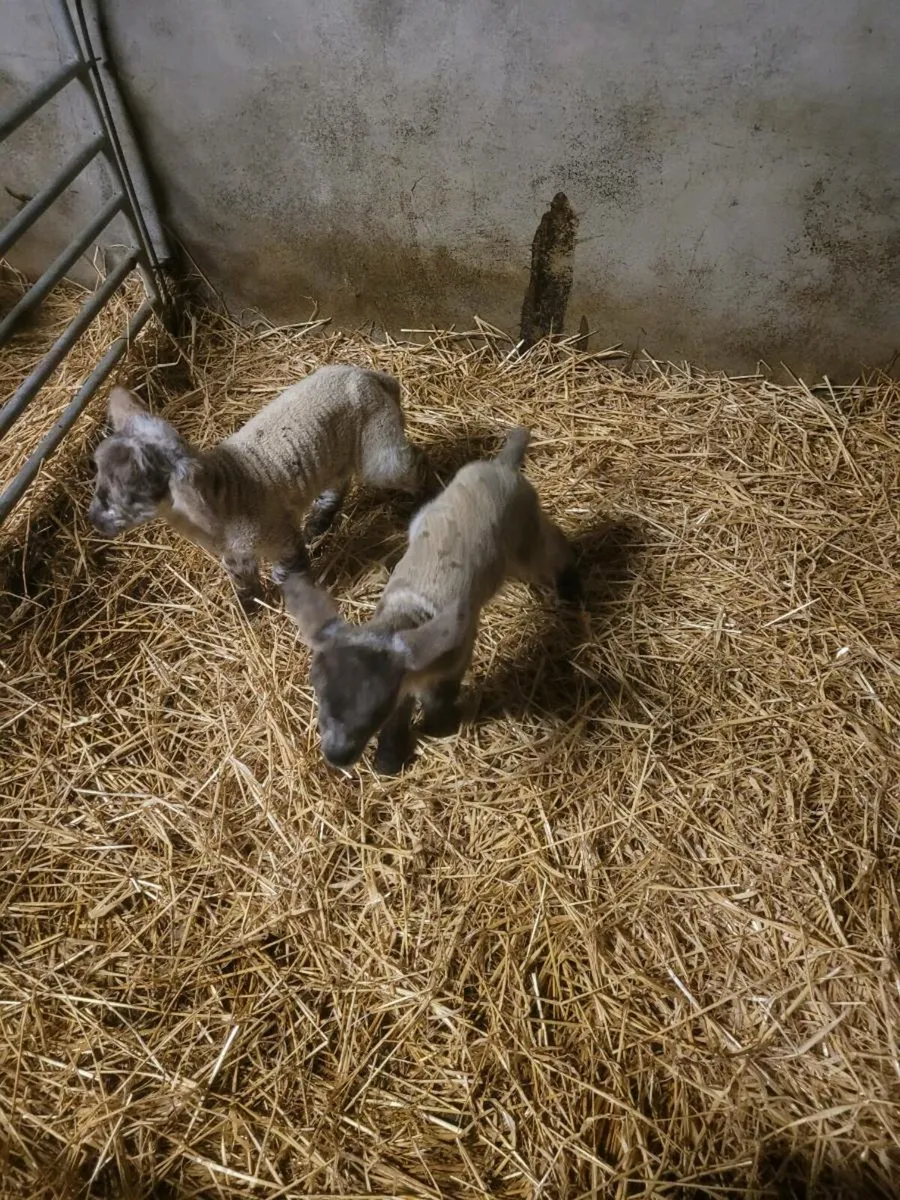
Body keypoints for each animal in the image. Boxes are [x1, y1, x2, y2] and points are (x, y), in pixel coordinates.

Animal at [88, 365, 426, 613]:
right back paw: (319, 522)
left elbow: (290, 570)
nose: (95, 520)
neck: (225, 493)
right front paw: (248, 610)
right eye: (99, 475)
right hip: (338, 452)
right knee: (337, 483)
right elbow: (242, 580)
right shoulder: (235, 552)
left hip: (380, 444)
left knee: (410, 464)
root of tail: (374, 376)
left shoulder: (279, 535)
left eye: (134, 491)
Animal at [281, 426, 581, 774]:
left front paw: (438, 728)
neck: (407, 613)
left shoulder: (456, 656)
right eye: (318, 693)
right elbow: (403, 708)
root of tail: (502, 465)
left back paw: (571, 588)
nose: (336, 757)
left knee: (552, 549)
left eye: (375, 711)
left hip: (524, 536)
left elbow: (440, 697)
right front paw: (389, 757)